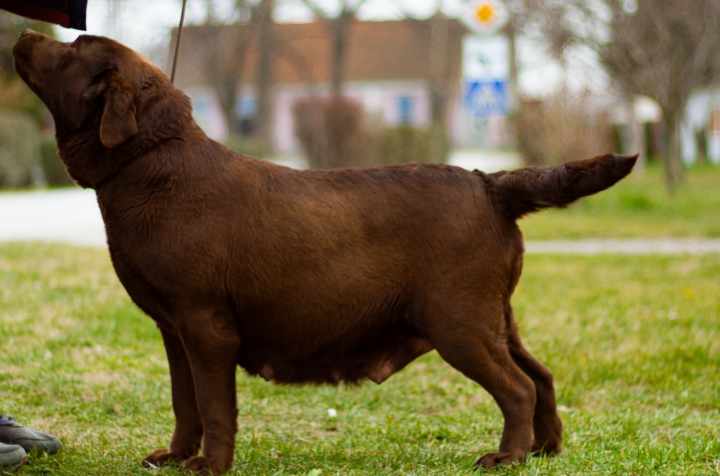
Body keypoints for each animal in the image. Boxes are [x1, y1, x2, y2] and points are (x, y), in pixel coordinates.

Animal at [15, 31, 636, 474]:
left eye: (73, 48)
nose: (23, 33)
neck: (151, 164)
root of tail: (490, 184)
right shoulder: (174, 331)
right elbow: (183, 401)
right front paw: (173, 456)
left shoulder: (206, 326)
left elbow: (214, 406)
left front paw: (209, 465)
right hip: (494, 316)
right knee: (542, 375)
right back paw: (545, 449)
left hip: (458, 321)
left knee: (518, 387)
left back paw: (507, 456)